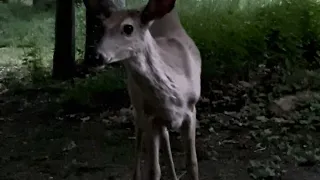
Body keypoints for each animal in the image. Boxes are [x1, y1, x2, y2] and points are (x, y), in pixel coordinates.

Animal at [84, 0, 201, 180]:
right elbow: (153, 170)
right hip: (137, 105)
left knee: (165, 136)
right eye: (102, 27)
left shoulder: (191, 111)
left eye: (128, 28)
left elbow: (192, 165)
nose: (95, 56)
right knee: (140, 137)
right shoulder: (149, 116)